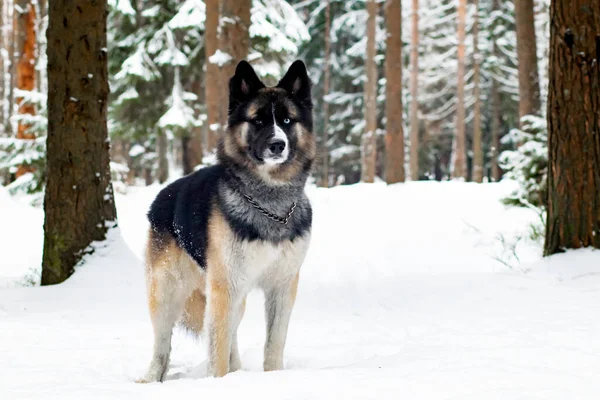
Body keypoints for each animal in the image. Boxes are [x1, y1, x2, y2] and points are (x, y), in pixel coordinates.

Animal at [136, 59, 314, 382]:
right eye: (257, 121)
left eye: (286, 120)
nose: (277, 145)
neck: (269, 202)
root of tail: (162, 197)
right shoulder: (226, 286)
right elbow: (216, 349)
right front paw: (218, 384)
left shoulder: (282, 286)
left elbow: (273, 344)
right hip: (167, 293)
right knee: (162, 344)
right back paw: (152, 378)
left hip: (232, 296)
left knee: (230, 334)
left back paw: (237, 370)